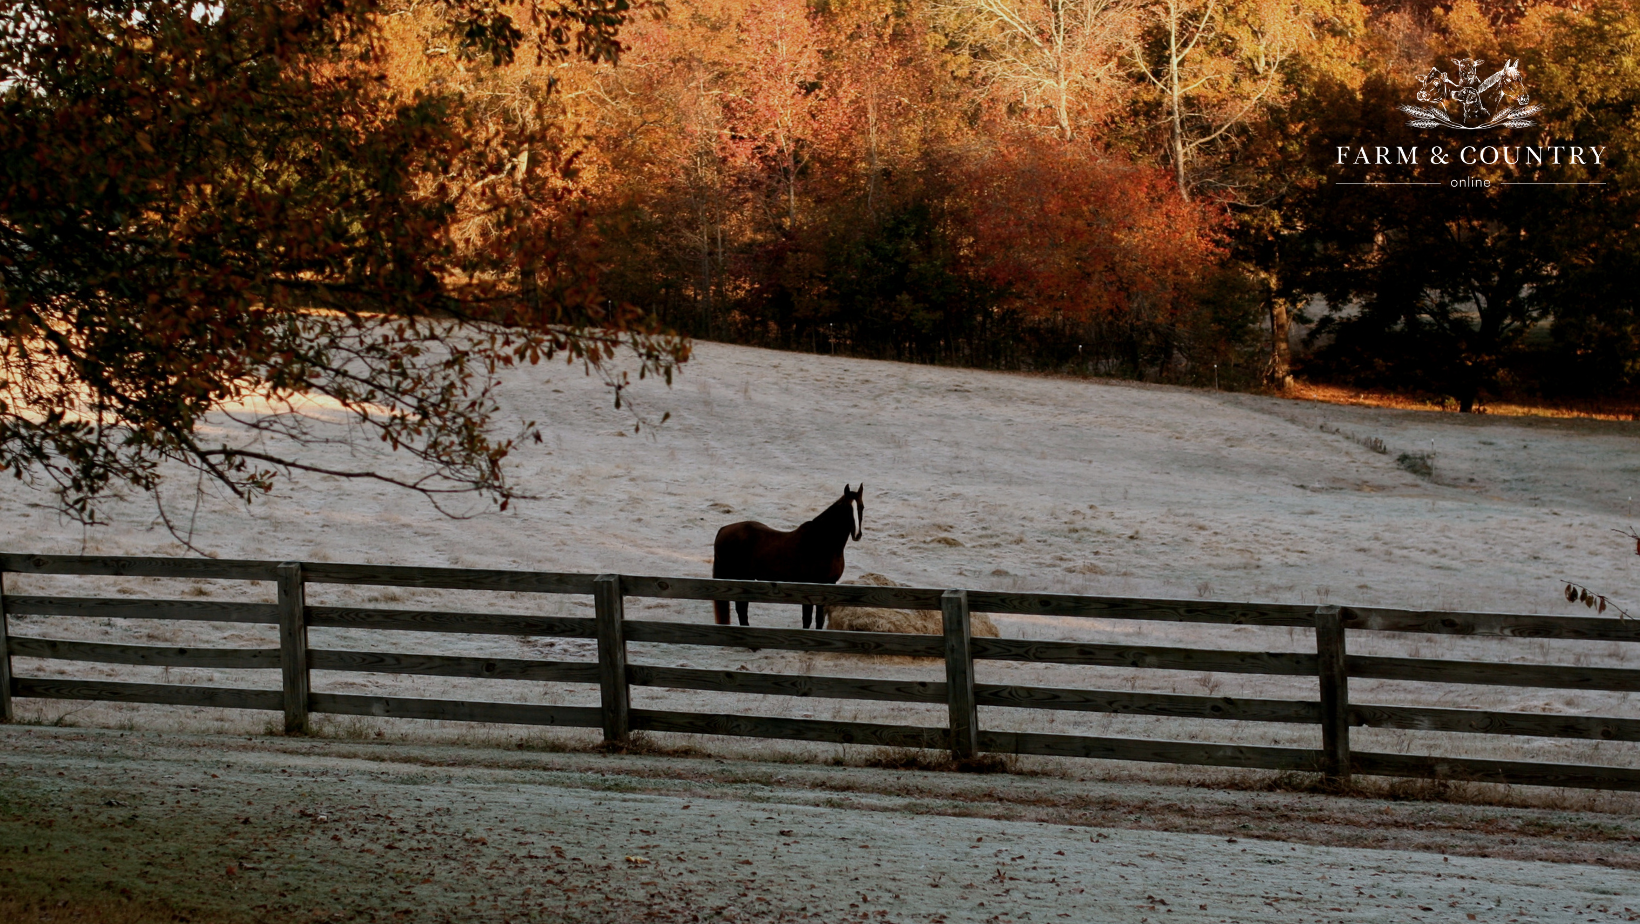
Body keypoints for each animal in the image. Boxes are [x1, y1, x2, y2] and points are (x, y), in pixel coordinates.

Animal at [711, 485, 865, 630]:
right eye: (846, 508)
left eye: (861, 507)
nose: (857, 534)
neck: (820, 543)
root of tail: (723, 529)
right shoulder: (808, 587)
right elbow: (807, 619)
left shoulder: (828, 585)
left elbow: (819, 619)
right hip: (741, 578)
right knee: (741, 608)